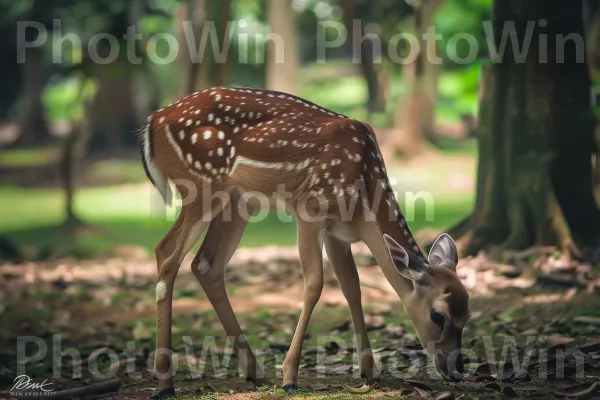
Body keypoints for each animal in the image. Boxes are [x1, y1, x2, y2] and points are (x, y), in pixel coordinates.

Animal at [138, 86, 472, 396]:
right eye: (437, 315)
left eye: (468, 314)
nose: (456, 370)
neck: (363, 197)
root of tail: (154, 119)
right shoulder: (311, 208)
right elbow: (314, 283)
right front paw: (289, 377)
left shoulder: (339, 232)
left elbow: (353, 288)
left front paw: (369, 371)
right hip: (200, 184)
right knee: (166, 252)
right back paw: (165, 382)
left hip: (239, 202)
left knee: (206, 264)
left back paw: (255, 373)